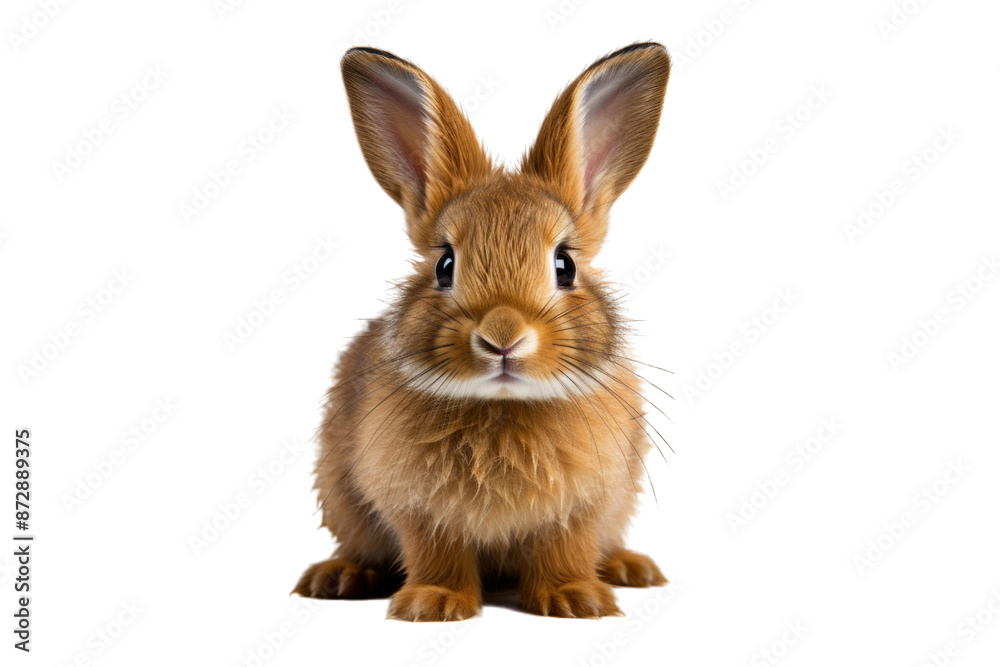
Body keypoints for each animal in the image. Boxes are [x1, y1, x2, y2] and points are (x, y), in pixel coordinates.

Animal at [293, 42, 671, 621]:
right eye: (444, 265)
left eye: (565, 266)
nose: (502, 336)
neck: (504, 406)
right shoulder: (419, 508)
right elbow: (437, 553)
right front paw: (433, 604)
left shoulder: (584, 506)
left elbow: (565, 548)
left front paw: (575, 599)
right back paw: (339, 577)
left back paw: (632, 569)